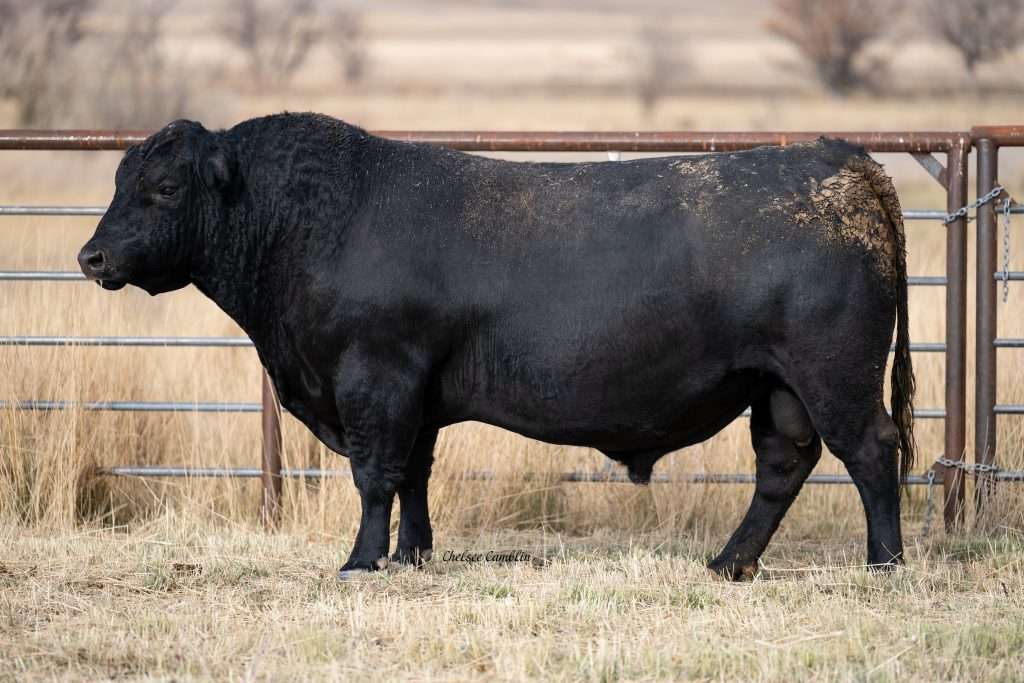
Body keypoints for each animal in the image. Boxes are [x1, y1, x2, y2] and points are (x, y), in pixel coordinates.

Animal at [78, 113, 915, 581]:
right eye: (117, 180)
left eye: (163, 188)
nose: (92, 256)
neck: (316, 219)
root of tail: (838, 158)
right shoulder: (413, 395)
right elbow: (413, 476)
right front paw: (410, 554)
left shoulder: (376, 379)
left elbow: (375, 476)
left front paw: (359, 560)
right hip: (777, 386)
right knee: (783, 466)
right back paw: (730, 563)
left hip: (834, 374)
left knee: (872, 451)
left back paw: (883, 562)